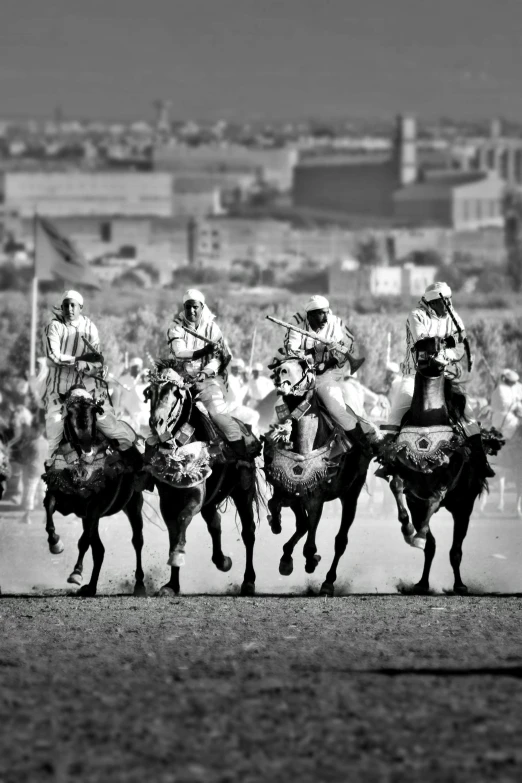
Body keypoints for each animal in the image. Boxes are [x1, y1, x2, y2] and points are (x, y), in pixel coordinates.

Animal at [42, 388, 146, 600]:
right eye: (69, 412)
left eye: (94, 411)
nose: (86, 445)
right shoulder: (61, 491)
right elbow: (49, 508)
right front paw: (55, 543)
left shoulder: (95, 507)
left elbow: (84, 542)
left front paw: (76, 572)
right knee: (99, 550)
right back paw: (91, 587)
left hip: (133, 504)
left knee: (137, 541)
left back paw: (139, 584)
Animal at [142, 364, 260, 596]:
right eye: (150, 392)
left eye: (175, 393)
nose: (156, 423)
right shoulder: (167, 500)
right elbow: (173, 532)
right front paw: (172, 585)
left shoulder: (195, 495)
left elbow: (182, 520)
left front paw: (178, 556)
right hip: (211, 502)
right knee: (215, 523)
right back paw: (223, 561)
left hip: (244, 493)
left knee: (248, 533)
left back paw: (248, 581)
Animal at [264, 358, 370, 596]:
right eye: (283, 362)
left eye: (301, 365)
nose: (280, 371)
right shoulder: (290, 491)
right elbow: (276, 506)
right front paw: (277, 527)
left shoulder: (315, 499)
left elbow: (309, 541)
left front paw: (311, 560)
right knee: (304, 526)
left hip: (352, 494)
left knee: (340, 541)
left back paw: (328, 582)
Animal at [376, 336, 502, 596]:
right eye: (421, 346)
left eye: (444, 343)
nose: (434, 357)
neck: (427, 419)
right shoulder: (411, 490)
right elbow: (397, 487)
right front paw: (409, 531)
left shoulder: (447, 483)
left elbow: (436, 497)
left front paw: (418, 534)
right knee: (433, 545)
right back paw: (423, 579)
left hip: (463, 506)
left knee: (456, 549)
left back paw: (459, 585)